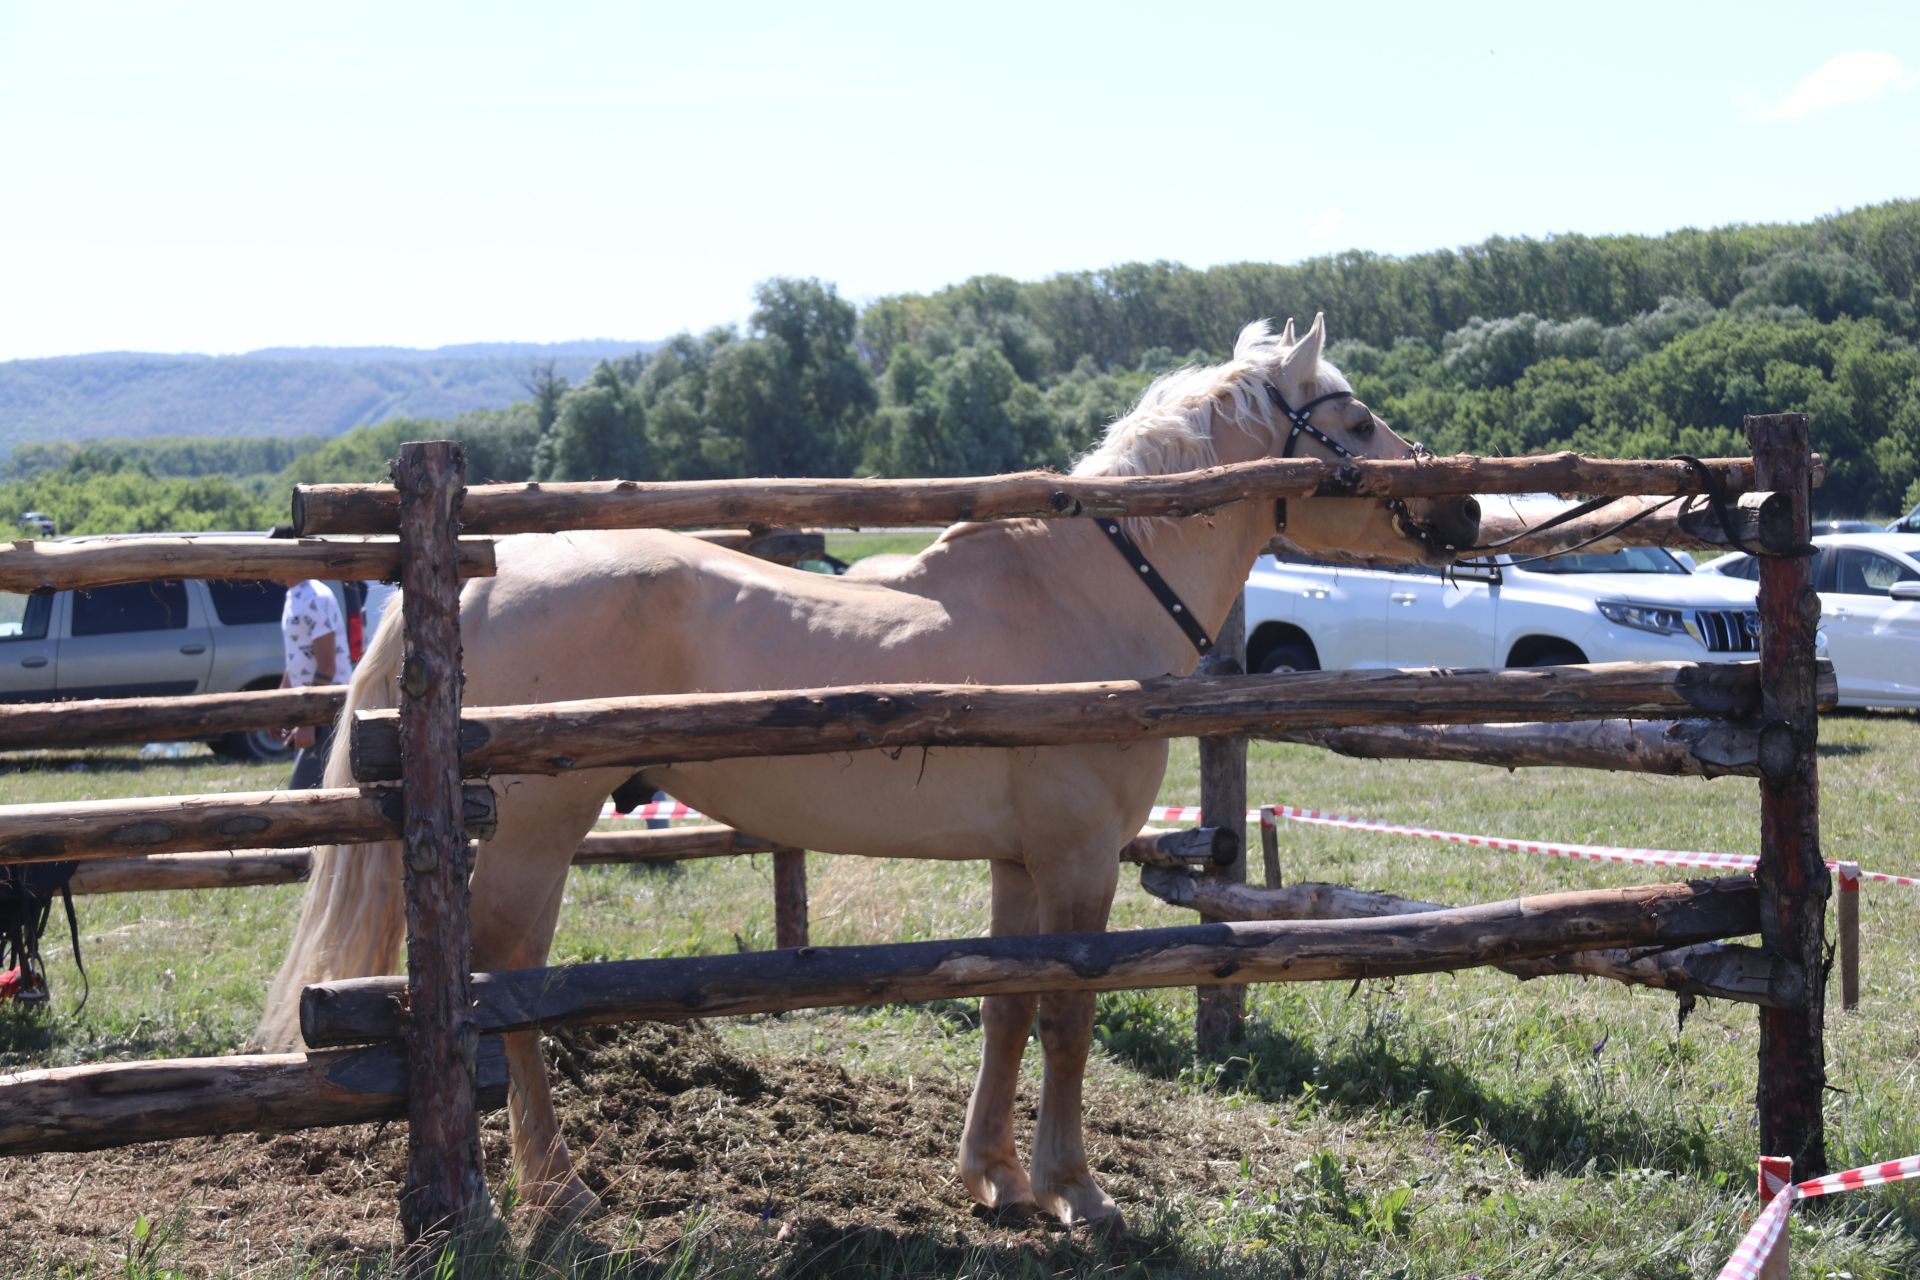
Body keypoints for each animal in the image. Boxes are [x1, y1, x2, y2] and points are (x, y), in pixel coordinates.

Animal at [259, 314, 1482, 1228]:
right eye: (1355, 417)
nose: (1466, 507)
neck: (1087, 593)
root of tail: (473, 581)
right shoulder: (1081, 861)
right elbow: (1068, 1017)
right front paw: (1075, 1189)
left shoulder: (1019, 864)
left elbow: (1004, 1008)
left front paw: (995, 1175)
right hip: (533, 836)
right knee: (509, 986)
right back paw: (557, 1190)